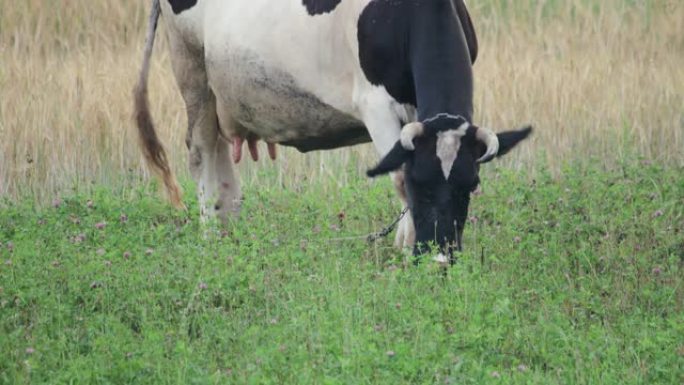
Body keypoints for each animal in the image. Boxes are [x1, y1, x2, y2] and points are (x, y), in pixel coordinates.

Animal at [132, 0, 528, 260]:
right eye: (421, 184)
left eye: (471, 184)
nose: (440, 257)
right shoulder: (375, 105)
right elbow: (398, 176)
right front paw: (404, 249)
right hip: (190, 65)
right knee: (200, 151)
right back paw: (211, 237)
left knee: (220, 156)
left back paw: (230, 228)